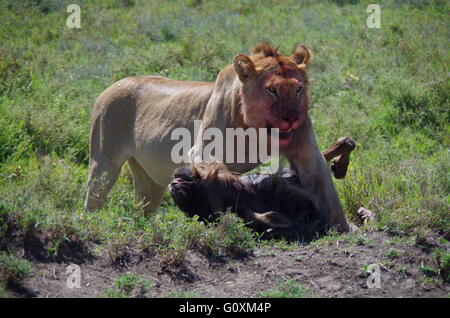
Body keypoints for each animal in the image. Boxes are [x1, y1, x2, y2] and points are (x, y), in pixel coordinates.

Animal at [85, 42, 352, 232]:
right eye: (272, 90)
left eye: (298, 89)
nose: (292, 118)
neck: (256, 128)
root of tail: (116, 83)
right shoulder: (201, 151)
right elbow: (216, 173)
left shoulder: (307, 154)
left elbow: (329, 196)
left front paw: (341, 229)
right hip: (104, 163)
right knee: (93, 198)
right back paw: (90, 226)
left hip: (148, 181)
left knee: (144, 206)